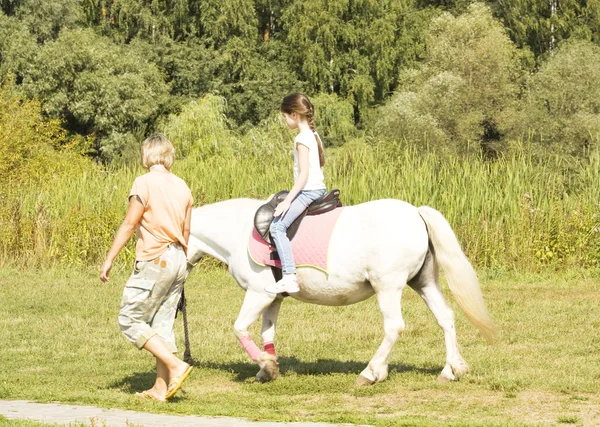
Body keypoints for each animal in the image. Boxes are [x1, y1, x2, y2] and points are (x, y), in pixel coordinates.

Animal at [189, 199, 496, 386]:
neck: (239, 231)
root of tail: (416, 213)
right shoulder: (273, 298)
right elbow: (268, 333)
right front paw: (269, 368)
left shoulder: (258, 294)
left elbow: (239, 328)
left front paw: (265, 364)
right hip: (424, 282)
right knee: (446, 318)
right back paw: (451, 369)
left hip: (388, 286)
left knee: (394, 327)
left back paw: (371, 372)